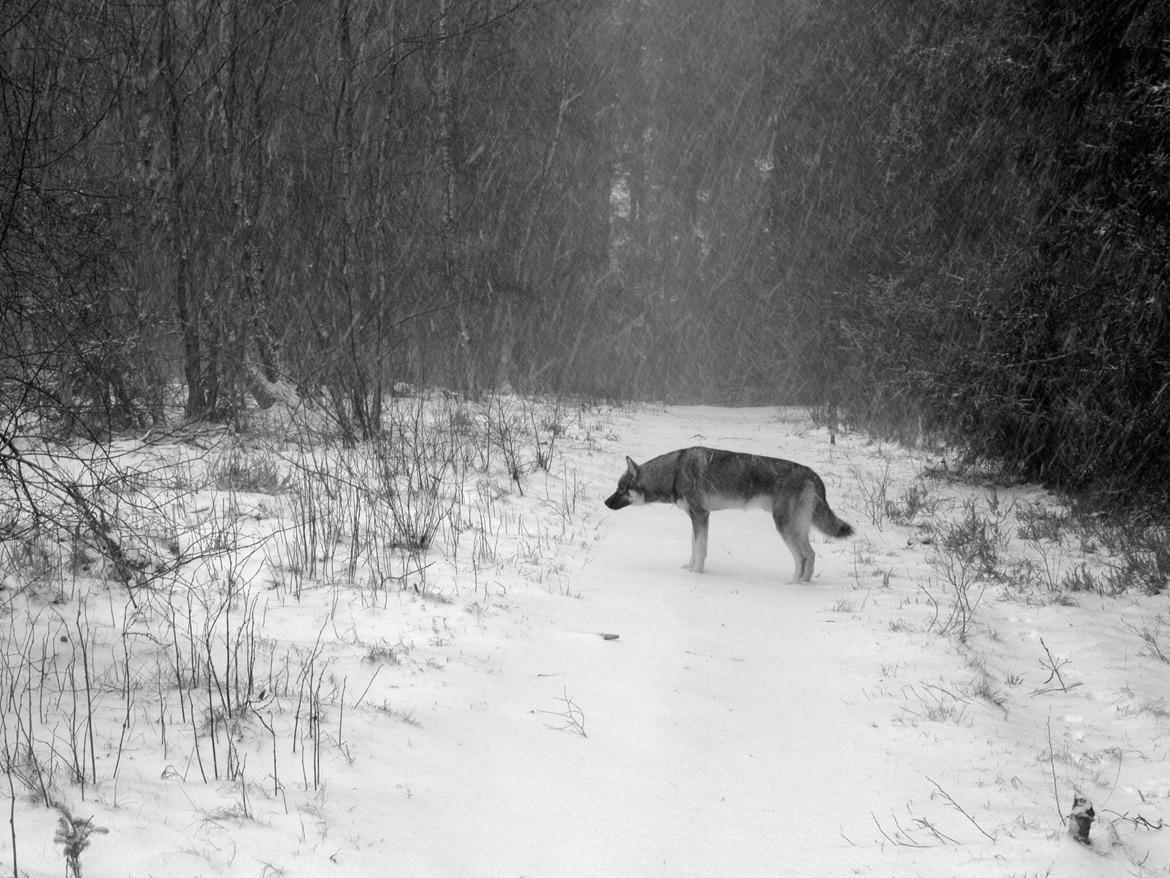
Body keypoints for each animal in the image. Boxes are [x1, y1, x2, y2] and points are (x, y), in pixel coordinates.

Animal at [604, 447, 854, 582]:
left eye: (622, 488)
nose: (605, 502)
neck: (673, 473)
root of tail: (812, 474)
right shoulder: (696, 517)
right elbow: (694, 547)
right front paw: (689, 569)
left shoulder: (700, 515)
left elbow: (701, 549)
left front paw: (696, 574)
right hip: (798, 527)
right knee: (811, 555)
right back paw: (804, 584)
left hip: (785, 527)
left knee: (802, 557)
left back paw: (793, 585)